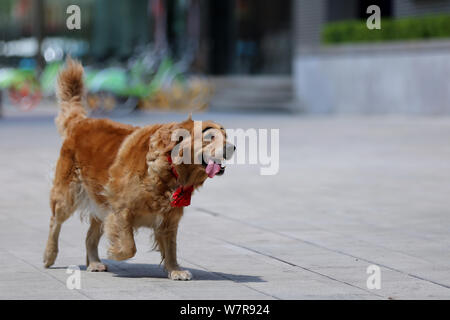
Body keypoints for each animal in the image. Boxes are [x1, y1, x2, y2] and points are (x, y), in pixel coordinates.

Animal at [42, 59, 236, 280]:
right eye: (210, 137)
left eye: (226, 136)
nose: (233, 147)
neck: (167, 168)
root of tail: (81, 121)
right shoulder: (120, 209)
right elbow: (129, 246)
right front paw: (116, 252)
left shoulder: (170, 218)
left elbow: (171, 248)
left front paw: (175, 269)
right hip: (67, 195)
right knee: (55, 222)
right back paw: (49, 255)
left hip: (98, 199)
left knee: (90, 235)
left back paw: (94, 262)